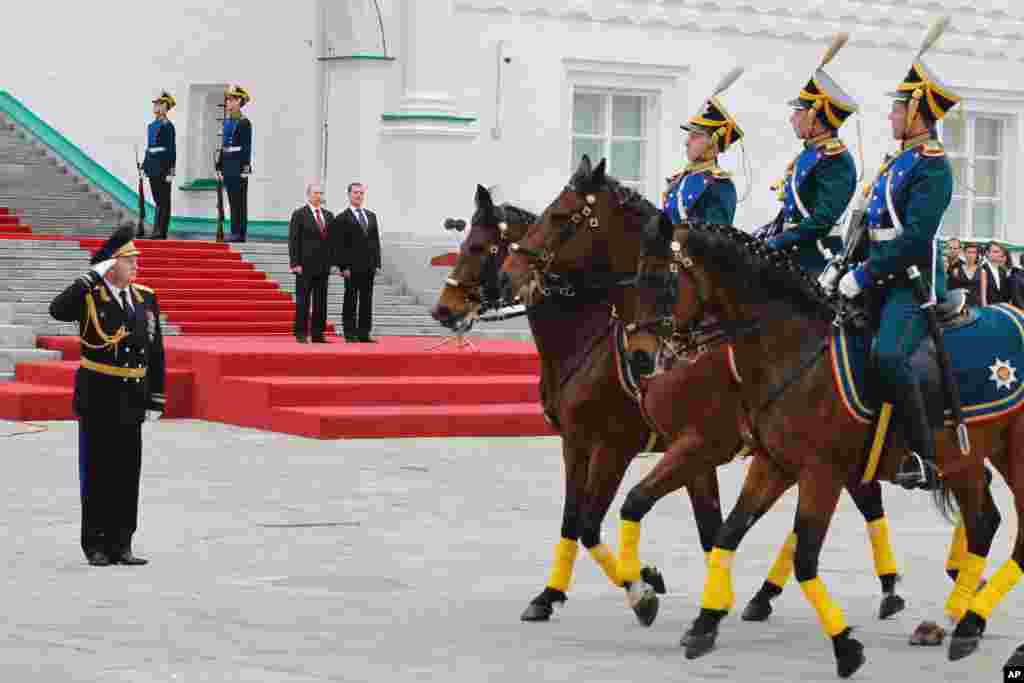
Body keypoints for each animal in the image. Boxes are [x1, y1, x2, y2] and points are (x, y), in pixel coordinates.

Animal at [436, 184, 724, 626]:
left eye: (480, 247)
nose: (443, 309)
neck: (590, 337)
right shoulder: (575, 443)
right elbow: (572, 520)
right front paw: (551, 594)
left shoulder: (614, 447)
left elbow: (590, 523)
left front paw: (640, 587)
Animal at [630, 218, 1015, 671]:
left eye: (662, 280)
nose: (639, 356)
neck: (791, 350)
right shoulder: (773, 463)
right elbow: (727, 531)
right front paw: (704, 621)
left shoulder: (817, 471)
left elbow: (804, 555)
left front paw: (845, 646)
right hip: (967, 458)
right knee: (983, 521)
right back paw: (966, 617)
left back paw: (966, 615)